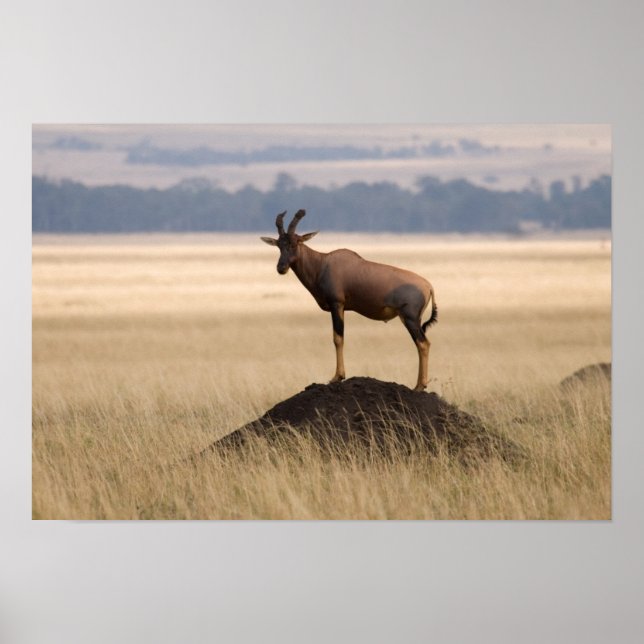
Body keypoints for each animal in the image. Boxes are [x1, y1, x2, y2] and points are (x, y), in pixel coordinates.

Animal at [261, 210, 438, 391]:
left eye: (295, 243)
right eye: (279, 245)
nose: (281, 268)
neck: (323, 263)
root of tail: (428, 285)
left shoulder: (336, 304)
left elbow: (338, 338)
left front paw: (337, 377)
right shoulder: (342, 308)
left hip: (410, 318)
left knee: (423, 344)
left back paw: (419, 386)